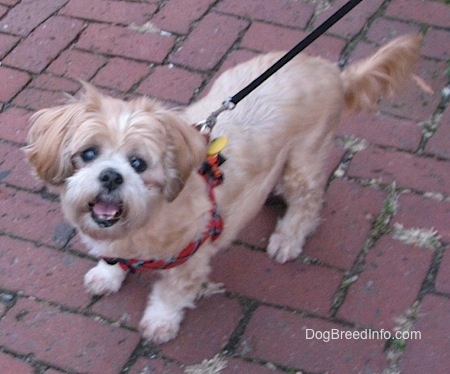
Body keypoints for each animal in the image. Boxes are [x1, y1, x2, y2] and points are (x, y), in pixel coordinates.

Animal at [24, 33, 422, 344]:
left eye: (138, 164)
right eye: (88, 154)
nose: (110, 176)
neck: (145, 221)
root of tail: (332, 71)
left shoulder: (191, 257)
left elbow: (171, 293)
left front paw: (160, 321)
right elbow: (114, 259)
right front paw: (108, 275)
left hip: (303, 162)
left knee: (308, 202)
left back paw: (288, 237)